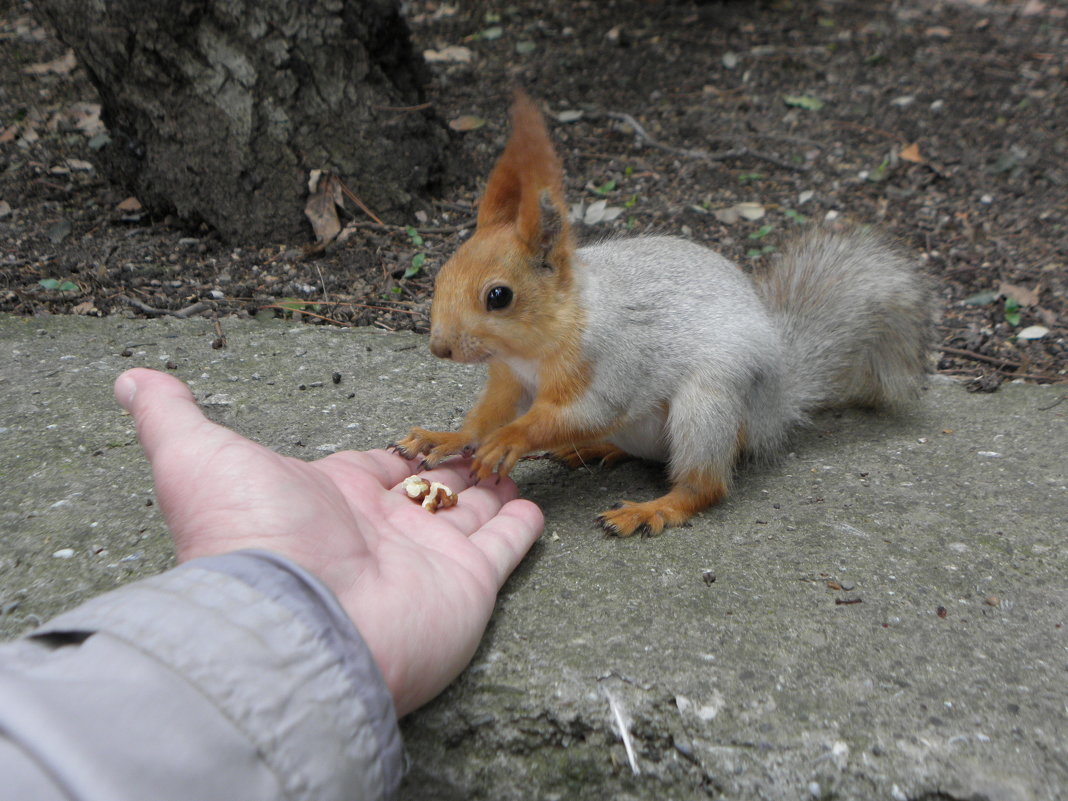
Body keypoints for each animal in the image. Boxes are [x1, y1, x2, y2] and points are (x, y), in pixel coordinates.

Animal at [395, 90, 935, 536]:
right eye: (443, 273)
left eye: (499, 296)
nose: (439, 347)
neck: (536, 344)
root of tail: (774, 411)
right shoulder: (510, 378)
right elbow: (490, 412)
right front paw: (448, 437)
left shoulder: (615, 360)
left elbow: (583, 411)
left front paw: (511, 439)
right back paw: (598, 449)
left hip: (709, 405)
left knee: (704, 486)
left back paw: (652, 508)